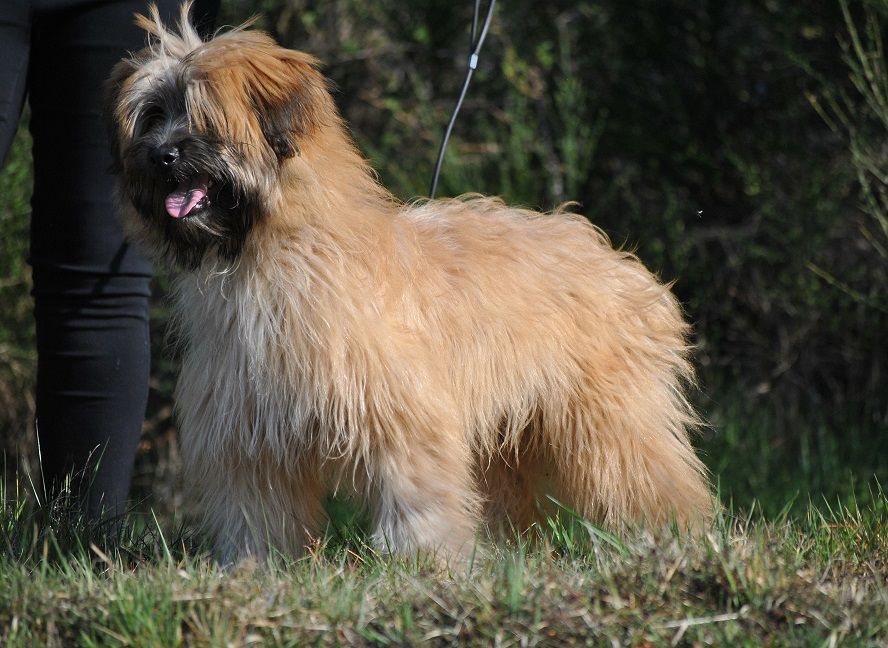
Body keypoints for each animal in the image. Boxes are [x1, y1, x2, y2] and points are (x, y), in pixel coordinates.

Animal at [104, 2, 716, 560]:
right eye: (152, 115)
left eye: (203, 116)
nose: (160, 157)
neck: (272, 255)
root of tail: (613, 258)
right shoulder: (249, 436)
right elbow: (257, 514)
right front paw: (258, 569)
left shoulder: (403, 418)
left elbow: (418, 498)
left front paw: (425, 561)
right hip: (508, 438)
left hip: (608, 421)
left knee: (654, 478)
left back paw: (679, 539)